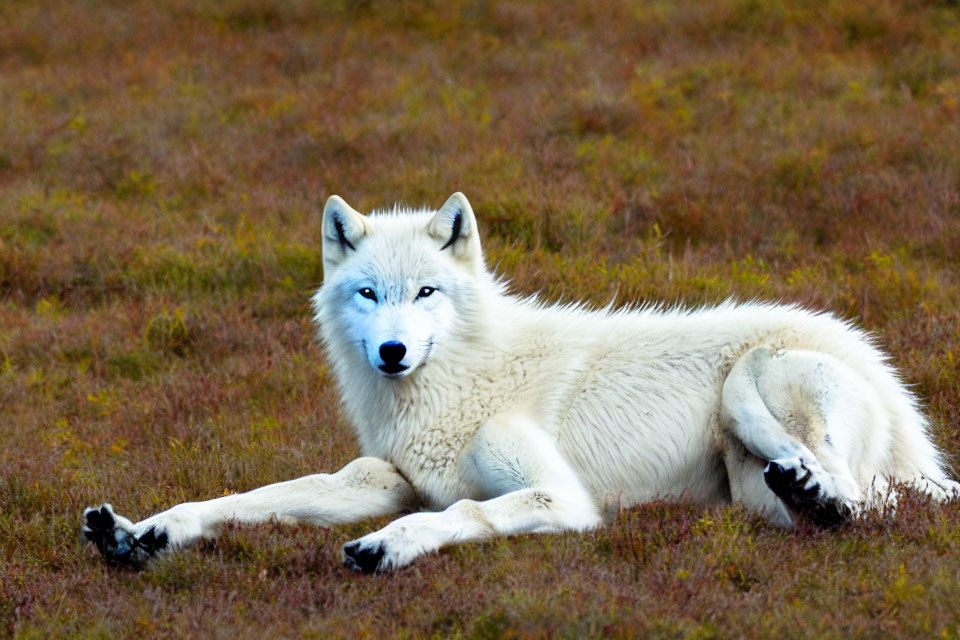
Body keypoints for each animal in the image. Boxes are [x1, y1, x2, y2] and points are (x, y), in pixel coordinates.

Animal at [84, 190, 960, 568]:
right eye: (368, 294)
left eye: (425, 293)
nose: (392, 353)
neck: (461, 381)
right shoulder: (378, 477)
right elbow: (255, 498)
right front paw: (143, 531)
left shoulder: (560, 498)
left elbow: (463, 513)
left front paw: (385, 547)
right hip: (753, 486)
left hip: (761, 390)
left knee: (866, 503)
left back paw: (824, 496)